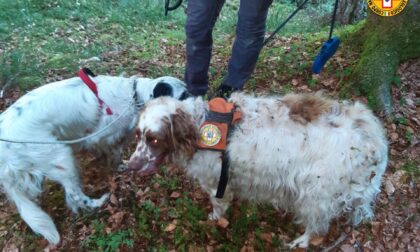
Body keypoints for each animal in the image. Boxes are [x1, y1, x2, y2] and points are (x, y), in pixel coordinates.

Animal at [0, 72, 187, 245]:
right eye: (184, 95)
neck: (134, 96)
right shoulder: (102, 136)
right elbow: (115, 153)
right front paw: (122, 166)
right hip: (60, 156)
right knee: (74, 195)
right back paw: (98, 203)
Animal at [128, 92, 388, 248]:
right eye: (138, 136)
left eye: (154, 139)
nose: (129, 166)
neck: (199, 126)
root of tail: (373, 137)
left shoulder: (216, 184)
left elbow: (218, 206)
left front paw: (215, 219)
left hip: (316, 193)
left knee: (317, 227)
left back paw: (300, 241)